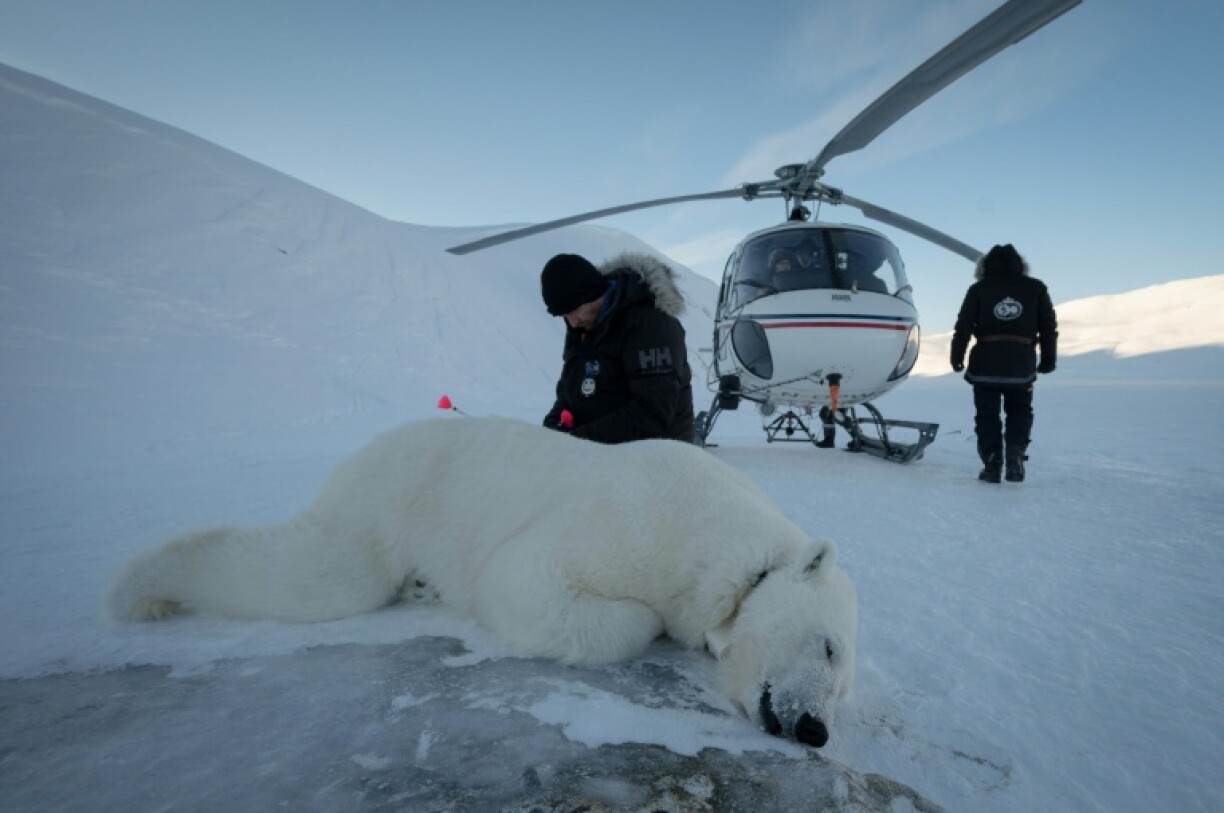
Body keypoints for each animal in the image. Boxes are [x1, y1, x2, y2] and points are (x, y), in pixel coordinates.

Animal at [107, 417, 858, 747]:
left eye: (844, 687)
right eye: (827, 646)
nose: (817, 729)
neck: (727, 542)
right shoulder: (636, 523)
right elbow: (527, 581)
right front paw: (650, 624)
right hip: (392, 501)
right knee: (320, 575)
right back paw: (140, 587)